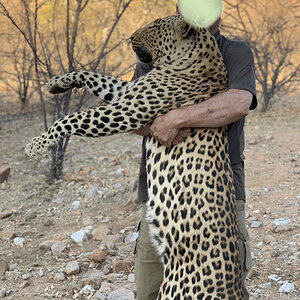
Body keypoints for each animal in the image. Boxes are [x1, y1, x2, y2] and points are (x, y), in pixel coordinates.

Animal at [24, 15, 243, 300]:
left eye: (155, 25)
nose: (130, 36)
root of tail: (233, 288)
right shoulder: (126, 91)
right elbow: (92, 76)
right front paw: (57, 83)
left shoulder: (125, 111)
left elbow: (73, 118)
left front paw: (37, 144)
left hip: (173, 290)